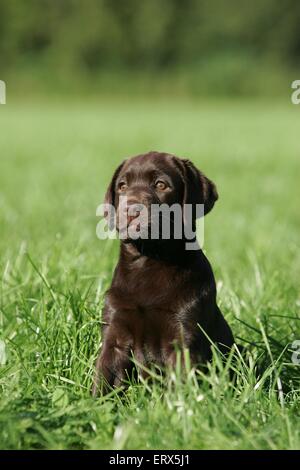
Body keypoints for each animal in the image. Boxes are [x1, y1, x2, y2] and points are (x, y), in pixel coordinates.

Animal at [92, 152, 233, 394]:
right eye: (122, 186)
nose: (131, 210)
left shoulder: (182, 338)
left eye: (161, 184)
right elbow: (103, 380)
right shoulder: (114, 336)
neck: (149, 260)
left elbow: (180, 388)